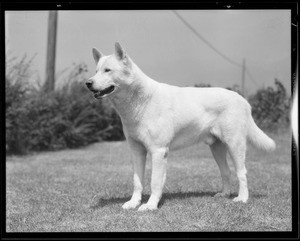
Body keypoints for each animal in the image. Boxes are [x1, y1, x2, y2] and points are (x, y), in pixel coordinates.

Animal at [85, 42, 276, 211]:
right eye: (96, 71)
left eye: (107, 70)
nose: (87, 83)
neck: (140, 102)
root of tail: (243, 99)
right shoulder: (137, 151)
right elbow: (137, 181)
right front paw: (134, 203)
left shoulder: (158, 151)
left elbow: (155, 182)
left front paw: (150, 206)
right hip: (217, 148)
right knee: (226, 171)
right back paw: (224, 195)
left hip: (235, 145)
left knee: (242, 172)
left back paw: (242, 198)